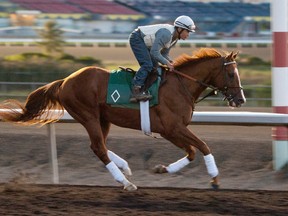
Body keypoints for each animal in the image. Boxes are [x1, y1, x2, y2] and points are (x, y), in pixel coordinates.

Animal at [0, 47, 245, 191]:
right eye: (231, 74)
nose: (240, 99)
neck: (181, 85)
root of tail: (64, 81)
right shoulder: (172, 128)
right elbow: (203, 146)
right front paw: (214, 179)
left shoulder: (171, 130)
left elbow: (192, 151)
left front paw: (162, 169)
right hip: (88, 115)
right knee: (99, 147)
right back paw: (125, 182)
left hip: (102, 119)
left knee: (99, 145)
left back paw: (125, 168)